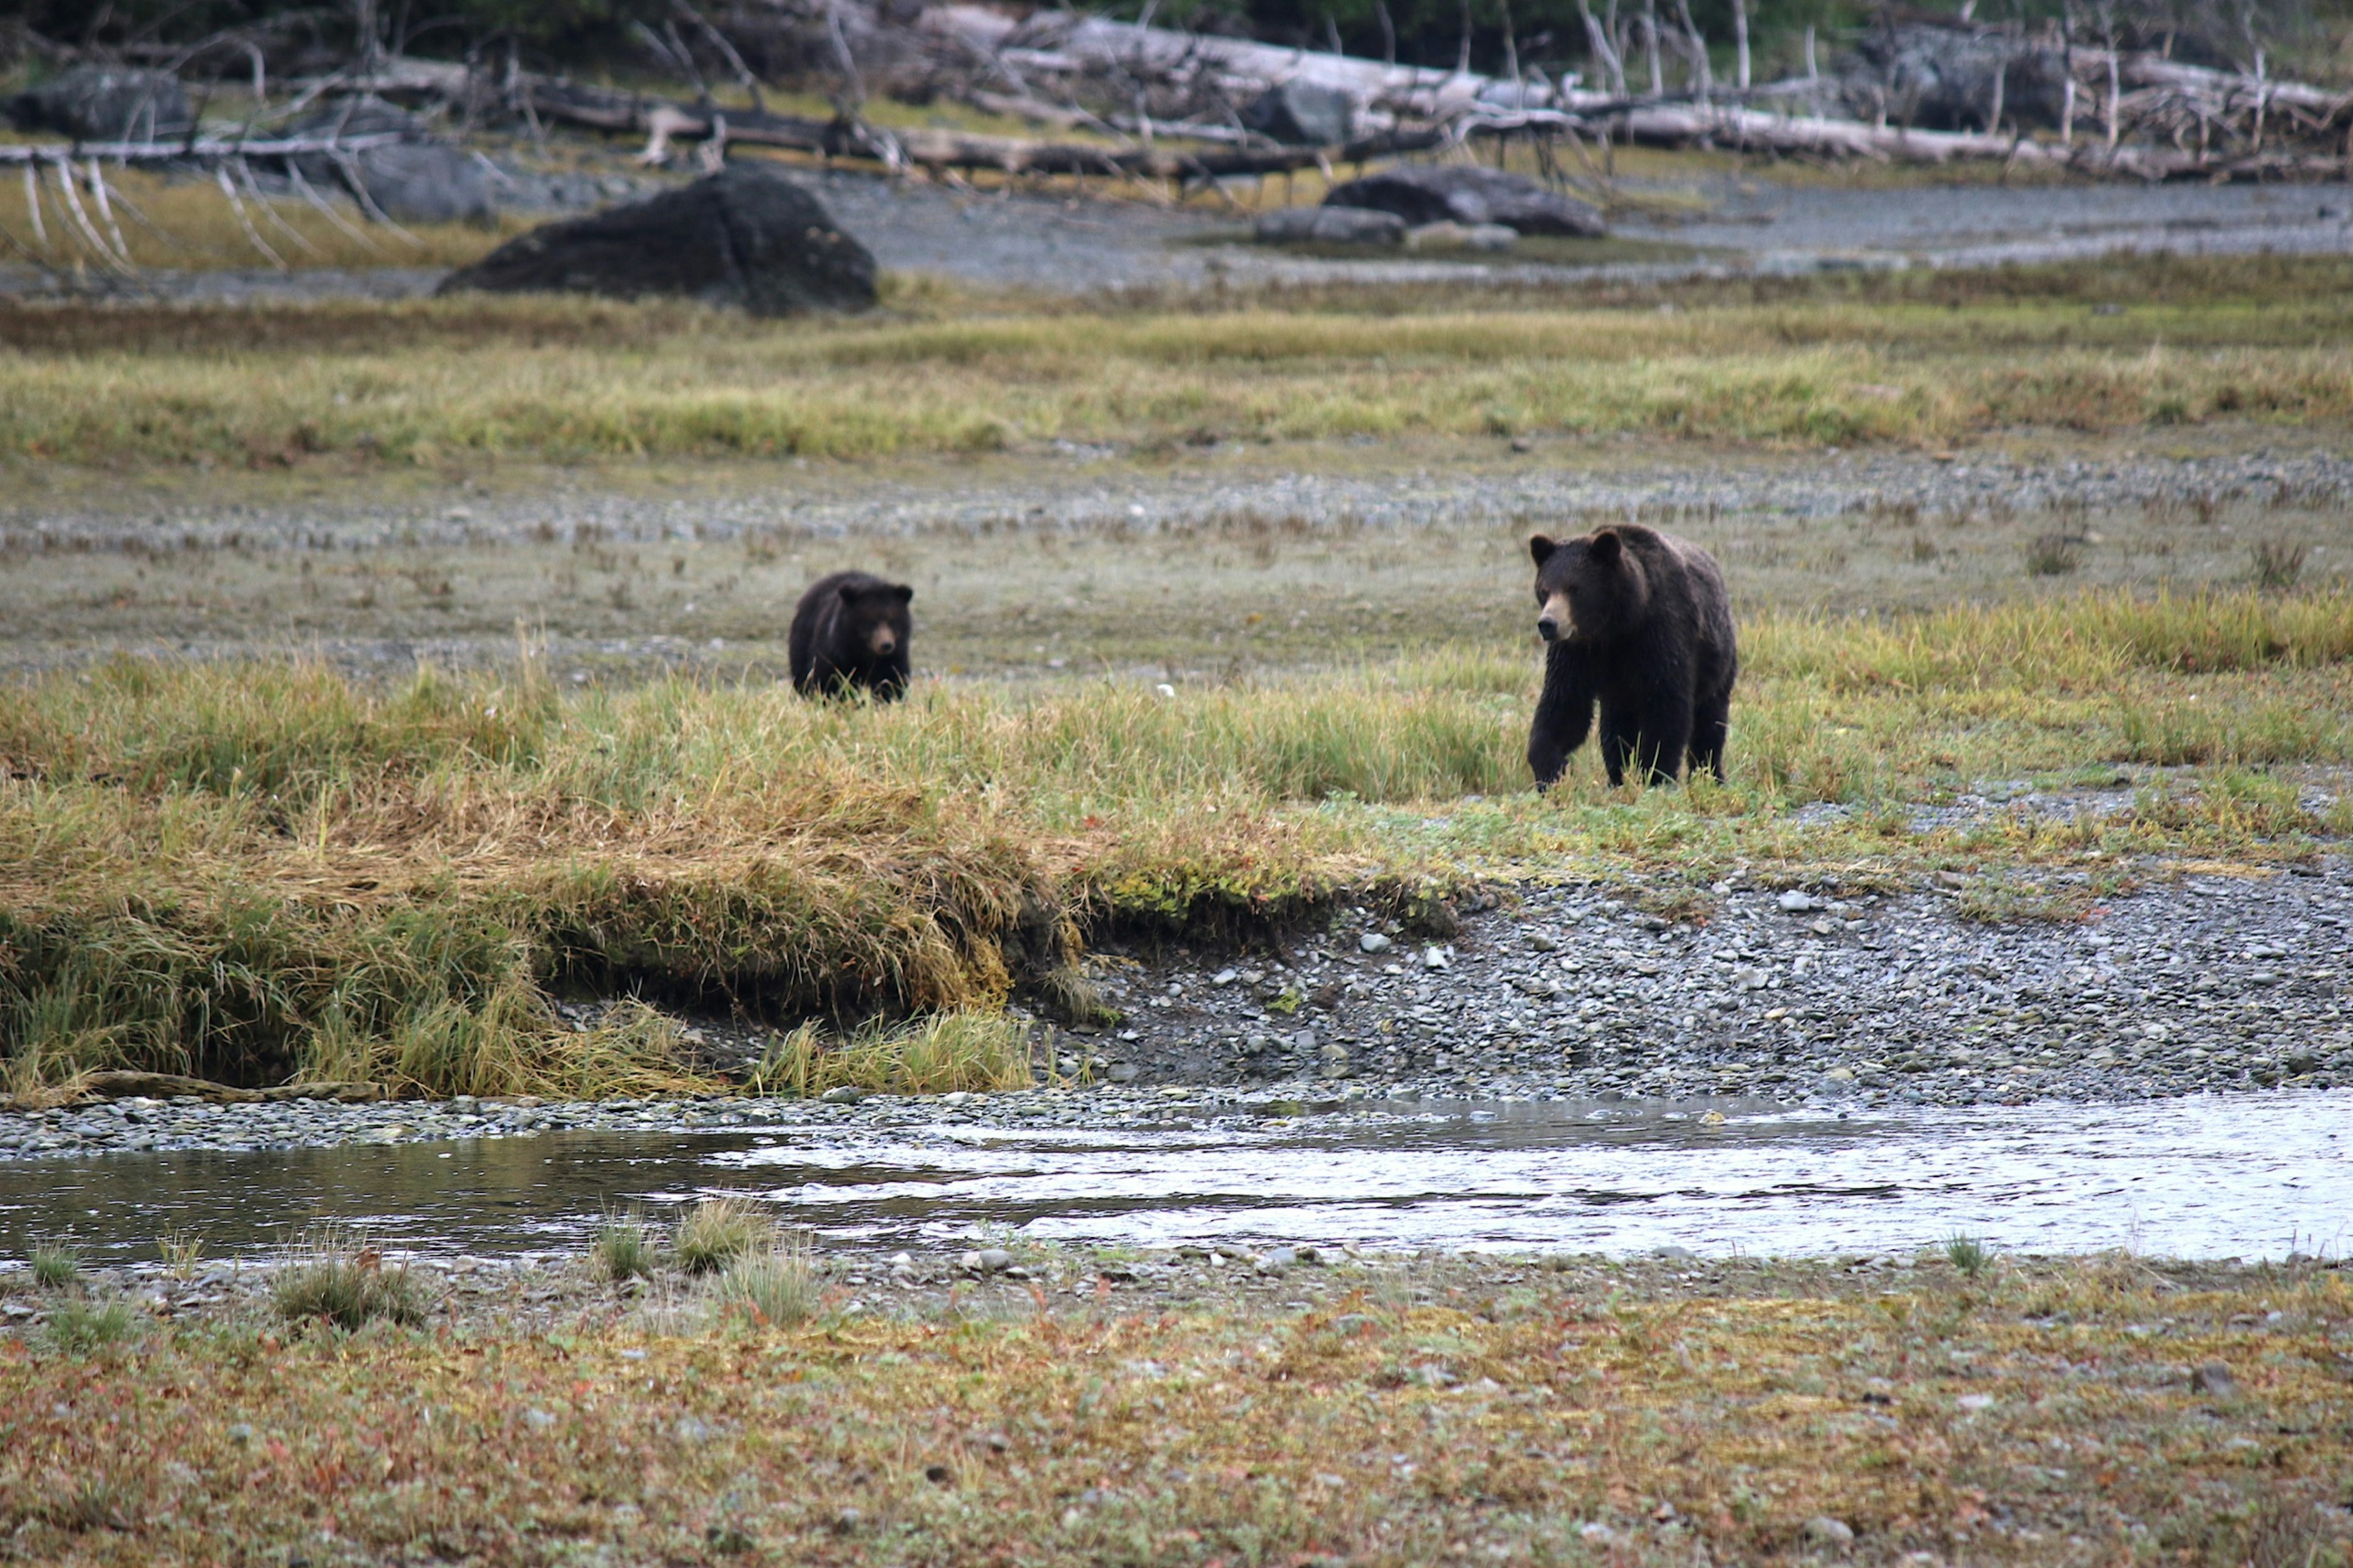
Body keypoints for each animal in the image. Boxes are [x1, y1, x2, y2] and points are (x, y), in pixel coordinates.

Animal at [1515, 525, 1741, 786]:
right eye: (1545, 589)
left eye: (1575, 588)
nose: (1548, 624)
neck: (1619, 625)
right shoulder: (1578, 652)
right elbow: (1564, 705)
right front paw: (1551, 770)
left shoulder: (1660, 635)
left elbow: (1666, 705)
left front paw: (1656, 773)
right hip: (1618, 693)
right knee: (1615, 730)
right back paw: (1616, 777)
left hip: (1719, 659)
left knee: (1710, 721)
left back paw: (1711, 775)